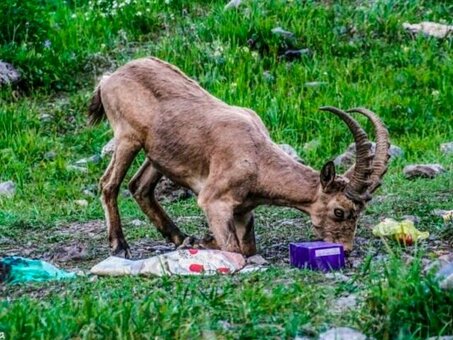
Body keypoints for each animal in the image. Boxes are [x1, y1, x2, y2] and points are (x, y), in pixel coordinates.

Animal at [88, 57, 388, 258]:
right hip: (128, 138)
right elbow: (234, 249)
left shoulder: (244, 210)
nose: (346, 249)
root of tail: (108, 79)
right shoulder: (214, 201)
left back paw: (181, 237)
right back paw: (120, 246)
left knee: (140, 187)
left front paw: (200, 240)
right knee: (108, 184)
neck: (257, 159)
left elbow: (248, 247)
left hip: (159, 155)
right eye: (339, 211)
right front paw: (204, 241)